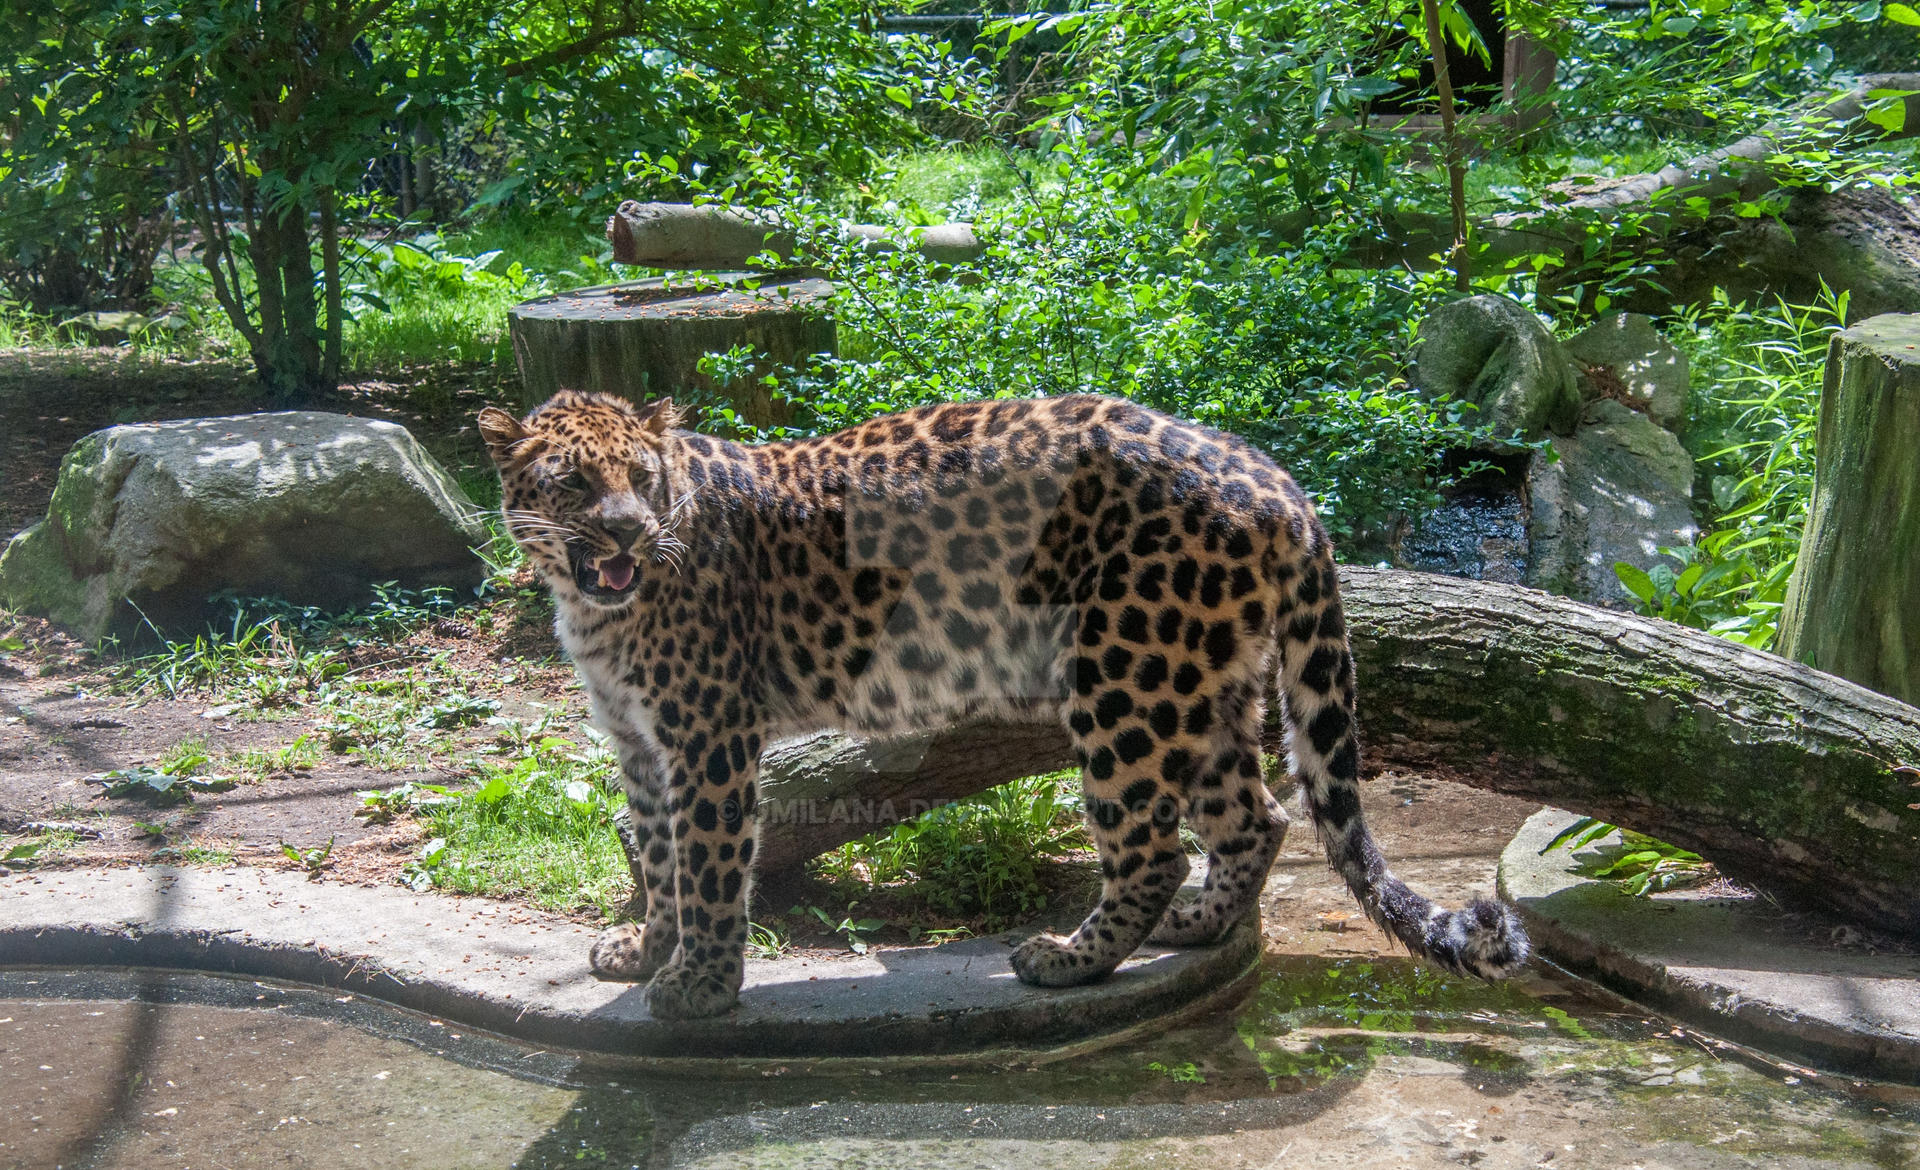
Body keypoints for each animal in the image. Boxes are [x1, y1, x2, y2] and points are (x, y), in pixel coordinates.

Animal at [479, 390, 1528, 1020]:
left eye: (640, 476)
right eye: (575, 480)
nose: (626, 530)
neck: (591, 602)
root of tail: (1276, 480)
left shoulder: (708, 735)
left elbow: (704, 861)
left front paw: (699, 983)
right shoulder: (640, 740)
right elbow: (656, 852)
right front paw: (646, 948)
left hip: (1124, 678)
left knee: (1150, 845)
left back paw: (1070, 958)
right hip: (1209, 681)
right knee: (1256, 815)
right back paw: (1200, 923)